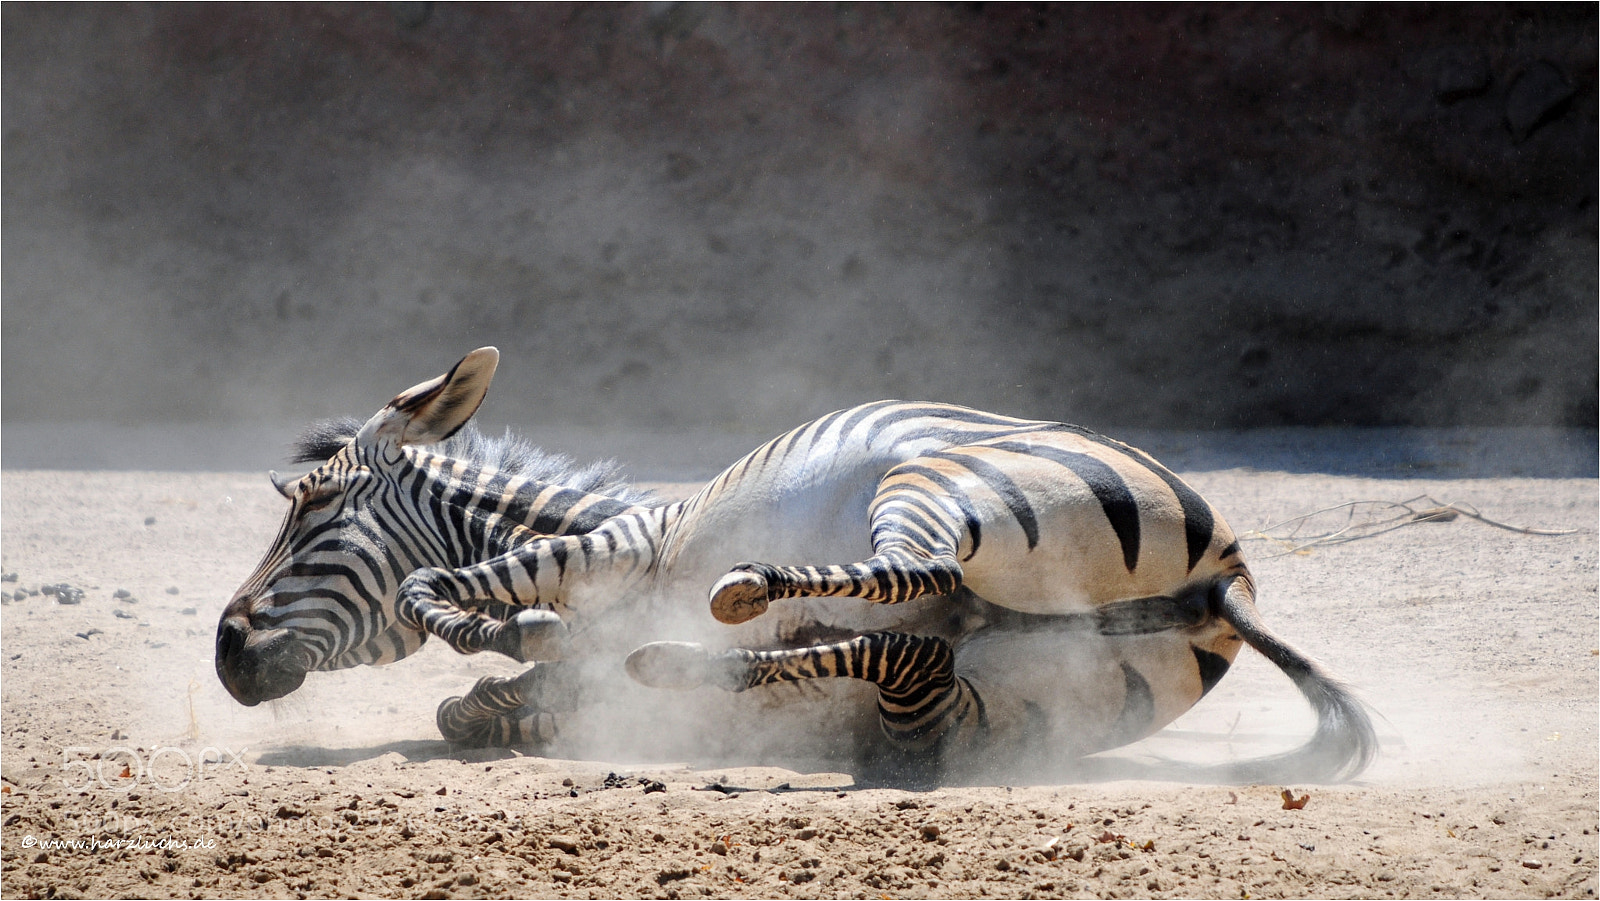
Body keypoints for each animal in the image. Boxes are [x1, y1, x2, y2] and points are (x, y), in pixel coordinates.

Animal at [220, 347, 1375, 781]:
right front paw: (529, 663)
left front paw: (502, 623)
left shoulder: (627, 541)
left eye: (310, 506)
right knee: (911, 652)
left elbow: (446, 593)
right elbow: (479, 709)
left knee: (919, 580)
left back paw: (748, 594)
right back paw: (692, 659)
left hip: (934, 480)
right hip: (982, 710)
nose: (226, 649)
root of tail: (1229, 577)